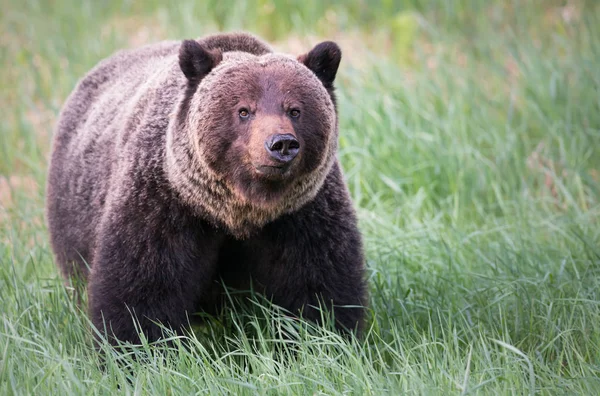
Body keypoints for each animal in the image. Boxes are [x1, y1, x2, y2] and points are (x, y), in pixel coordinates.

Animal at [45, 32, 366, 344]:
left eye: (295, 109)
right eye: (244, 110)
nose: (281, 144)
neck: (238, 211)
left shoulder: (302, 214)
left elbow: (318, 282)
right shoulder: (162, 204)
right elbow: (141, 290)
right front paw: (135, 348)